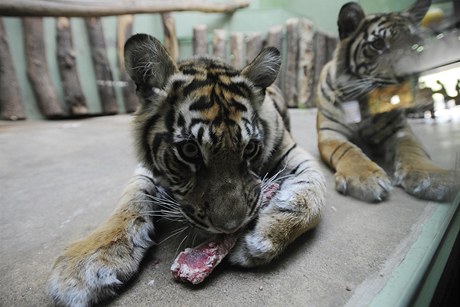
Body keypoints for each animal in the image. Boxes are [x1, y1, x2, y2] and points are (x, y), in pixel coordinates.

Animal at [48, 35, 326, 306]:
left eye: (249, 149)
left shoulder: (294, 152)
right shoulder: (145, 172)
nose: (230, 227)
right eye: (190, 150)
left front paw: (261, 239)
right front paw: (87, 263)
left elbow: (313, 196)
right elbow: (128, 203)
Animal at [318, 0, 458, 203]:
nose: (410, 74)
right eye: (378, 44)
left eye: (415, 45)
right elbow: (347, 149)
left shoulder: (401, 131)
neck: (364, 103)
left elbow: (412, 149)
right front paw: (364, 178)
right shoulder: (330, 133)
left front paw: (433, 176)